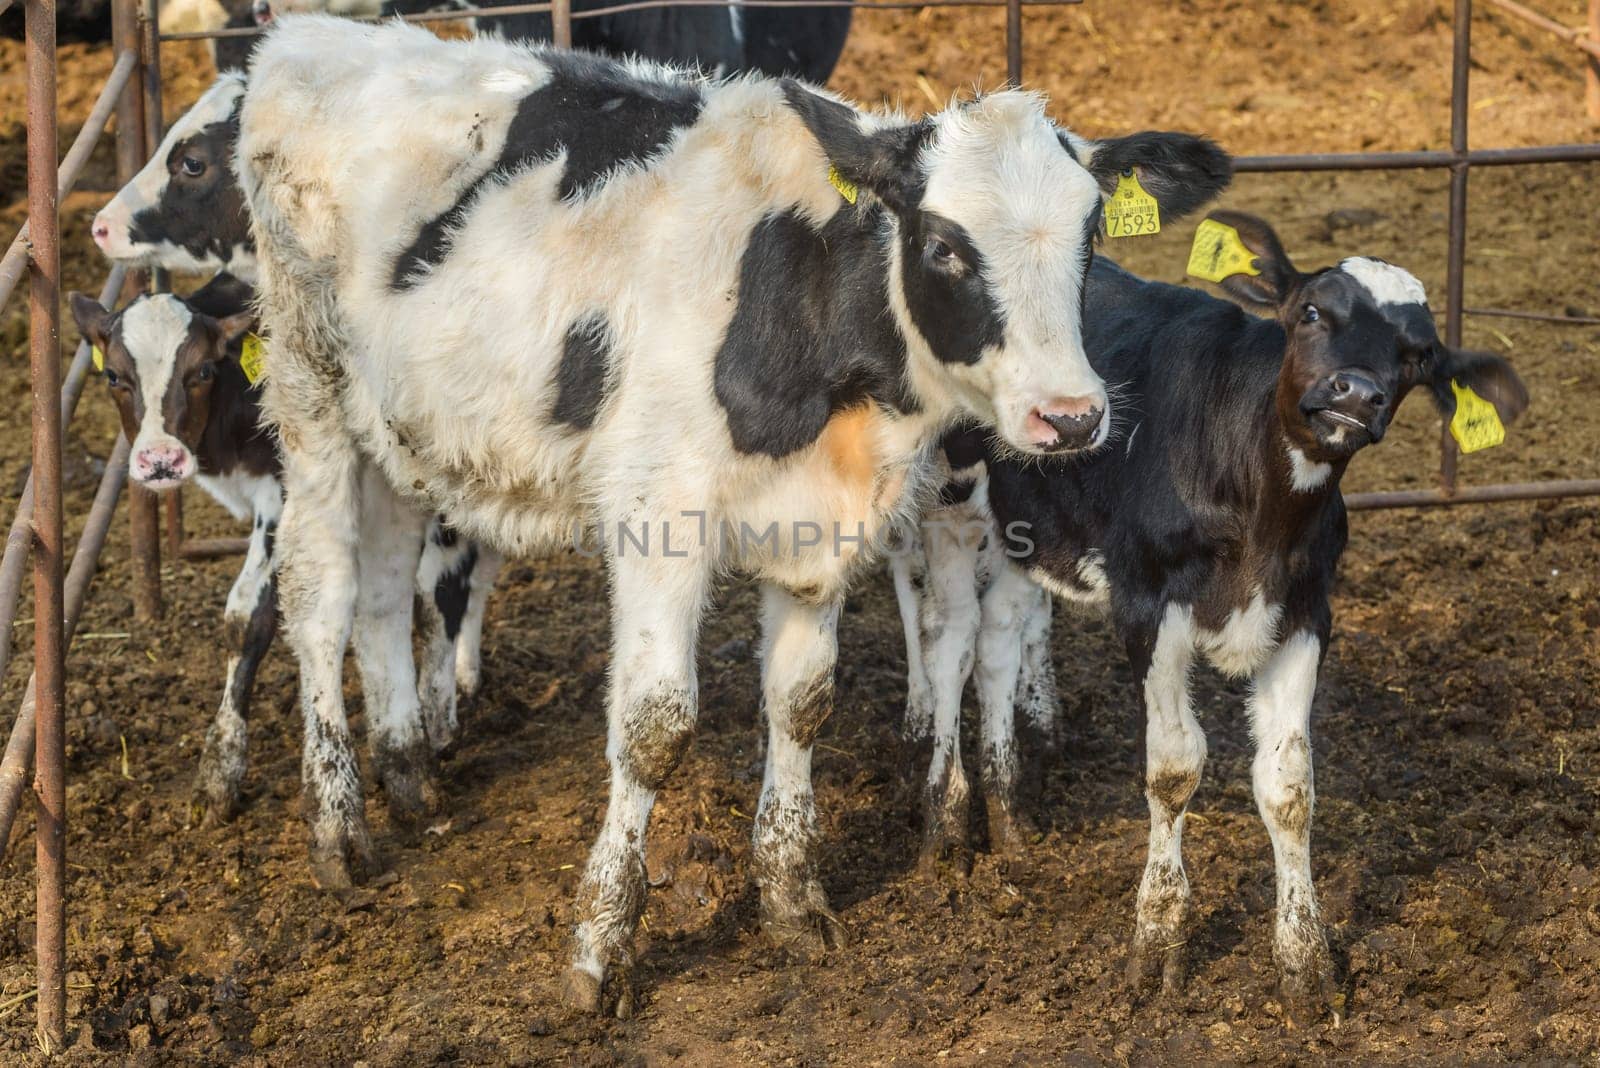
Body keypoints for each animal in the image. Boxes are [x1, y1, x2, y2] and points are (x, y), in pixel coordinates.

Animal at [68, 279, 499, 824]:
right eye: (113, 376)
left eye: (202, 371)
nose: (160, 461)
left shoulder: (283, 492)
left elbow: (246, 618)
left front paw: (220, 768)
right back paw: (465, 675)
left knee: (445, 587)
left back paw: (440, 717)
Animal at [233, 16, 1222, 1016]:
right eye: (945, 244)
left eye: (1091, 237)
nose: (1073, 416)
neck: (802, 302)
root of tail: (318, 35)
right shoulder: (657, 515)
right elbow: (655, 726)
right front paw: (600, 945)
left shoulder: (821, 529)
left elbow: (802, 703)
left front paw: (791, 900)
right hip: (309, 390)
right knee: (320, 595)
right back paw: (339, 828)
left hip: (401, 430)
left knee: (384, 591)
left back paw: (406, 774)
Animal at [896, 211, 1529, 1016]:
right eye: (1310, 312)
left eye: (1417, 355)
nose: (1355, 394)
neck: (1258, 501)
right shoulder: (1148, 603)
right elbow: (1174, 767)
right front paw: (1157, 940)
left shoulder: (1306, 613)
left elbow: (1290, 786)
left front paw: (1305, 964)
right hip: (948, 498)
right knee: (950, 639)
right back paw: (945, 827)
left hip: (1026, 525)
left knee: (1000, 640)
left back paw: (1008, 818)